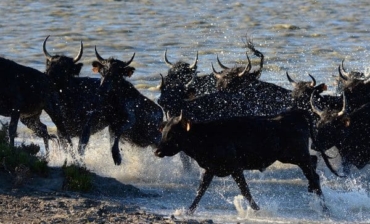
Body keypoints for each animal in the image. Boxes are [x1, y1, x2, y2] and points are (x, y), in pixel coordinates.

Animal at [154, 109, 336, 214]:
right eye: (164, 131)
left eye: (173, 133)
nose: (157, 151)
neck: (206, 136)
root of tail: (296, 113)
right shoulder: (210, 169)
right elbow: (201, 190)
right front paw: (189, 210)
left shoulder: (235, 168)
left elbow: (245, 191)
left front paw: (257, 209)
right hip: (291, 156)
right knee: (314, 164)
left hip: (297, 155)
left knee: (314, 175)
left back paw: (325, 208)